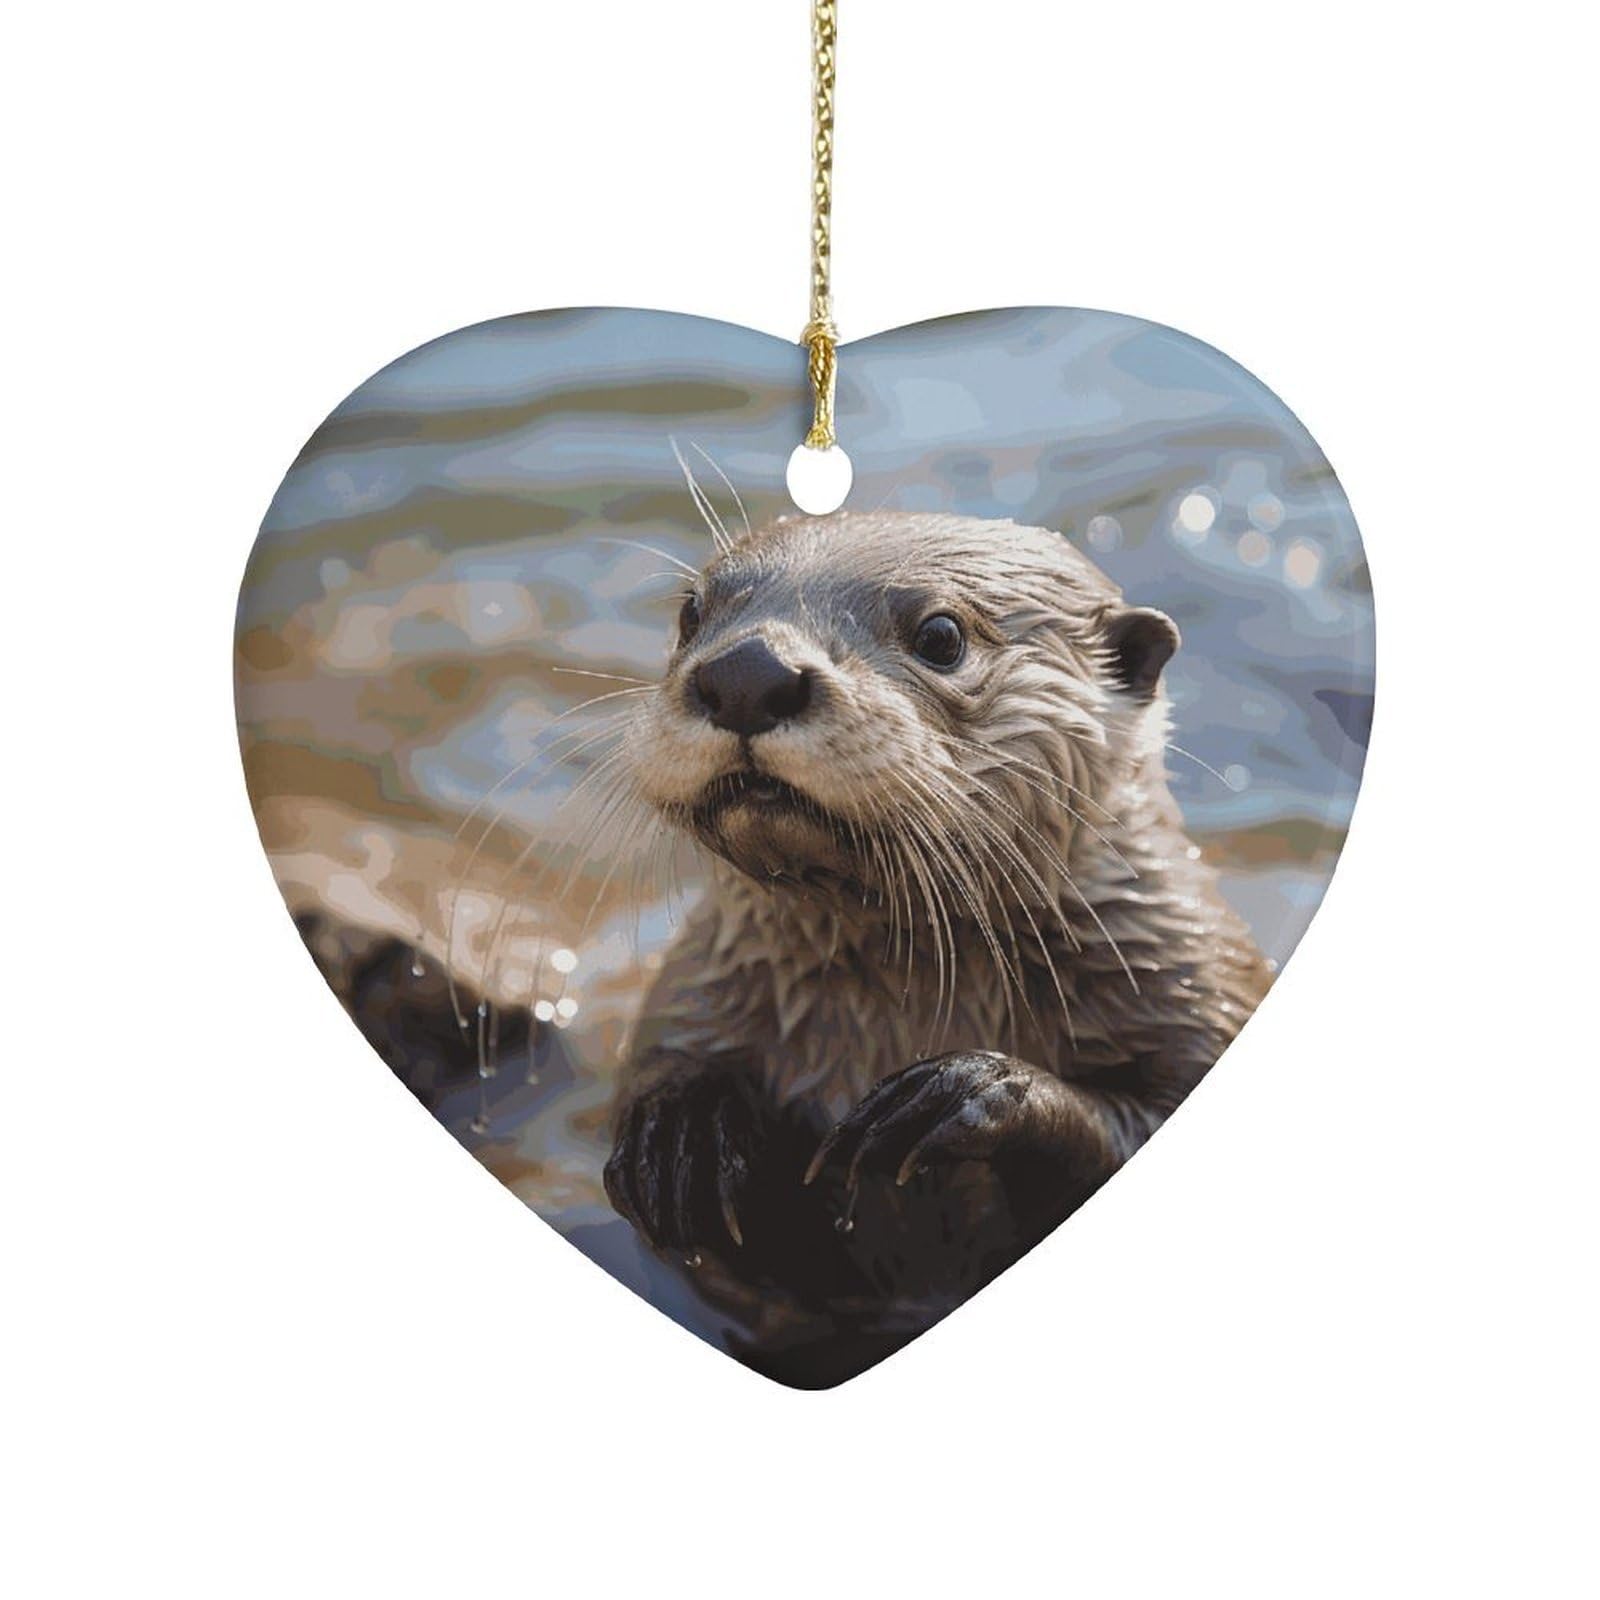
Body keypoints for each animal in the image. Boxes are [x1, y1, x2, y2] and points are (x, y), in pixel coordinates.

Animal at [601, 510, 1271, 1385]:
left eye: (942, 635)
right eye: (691, 612)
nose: (747, 671)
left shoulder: (1203, 991)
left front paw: (971, 1091)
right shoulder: (690, 993)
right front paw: (685, 1132)